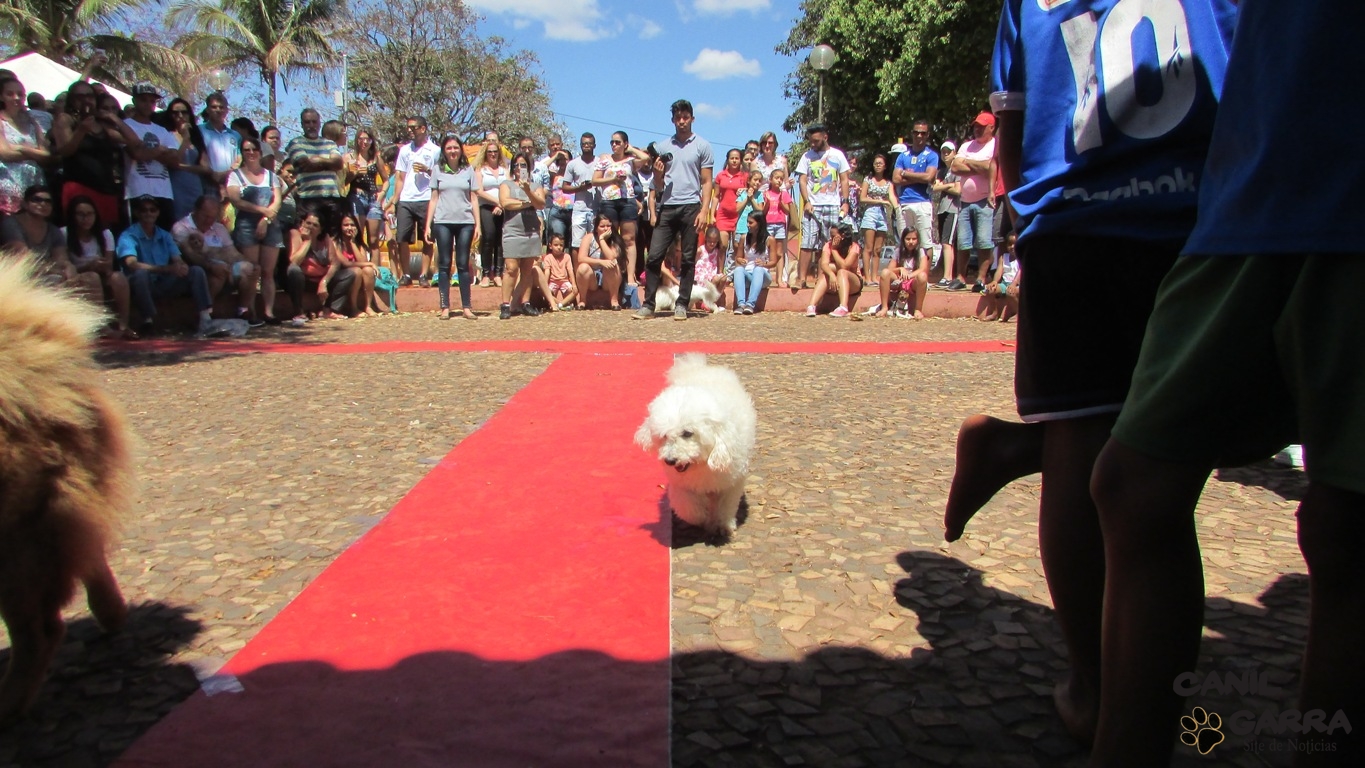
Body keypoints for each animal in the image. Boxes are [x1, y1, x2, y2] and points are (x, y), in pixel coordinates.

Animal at [635, 354, 756, 537]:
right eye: (664, 436)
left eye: (687, 433)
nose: (670, 460)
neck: (700, 465)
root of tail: (699, 368)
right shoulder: (681, 485)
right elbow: (689, 508)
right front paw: (702, 518)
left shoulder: (731, 482)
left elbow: (725, 506)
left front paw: (722, 525)